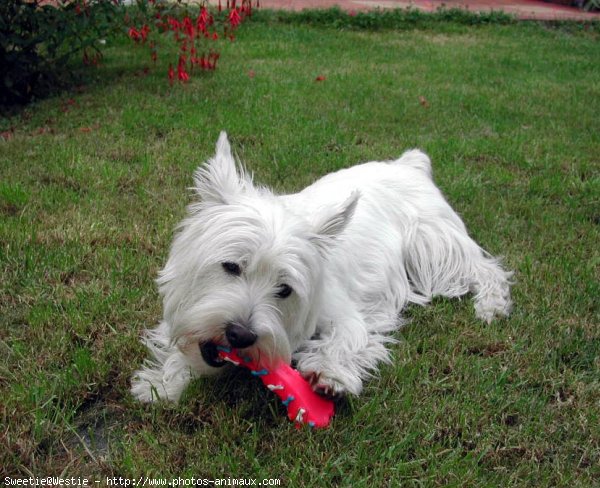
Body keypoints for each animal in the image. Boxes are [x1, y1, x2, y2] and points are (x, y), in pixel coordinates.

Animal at [130, 132, 510, 402]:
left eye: (284, 289)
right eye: (231, 266)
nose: (240, 335)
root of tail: (408, 164)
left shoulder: (345, 312)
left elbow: (348, 339)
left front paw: (330, 374)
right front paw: (163, 383)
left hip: (433, 244)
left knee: (485, 269)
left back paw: (491, 306)